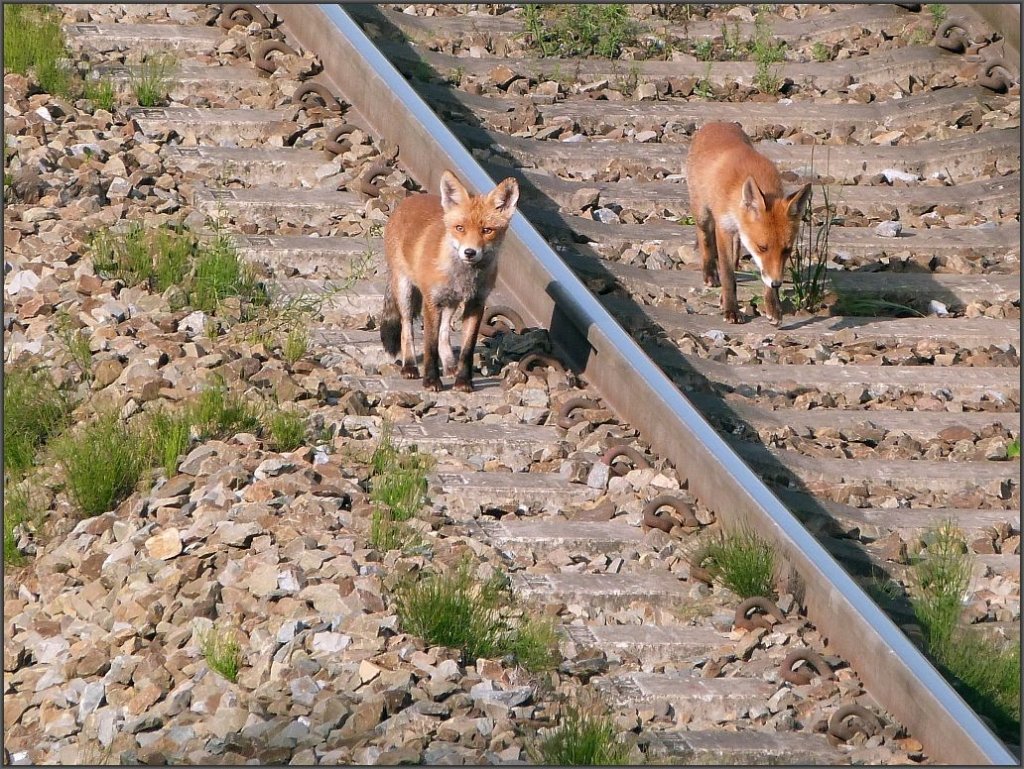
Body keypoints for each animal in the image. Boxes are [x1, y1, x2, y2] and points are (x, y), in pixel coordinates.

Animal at [380, 172, 520, 393]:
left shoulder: (476, 303)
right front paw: (431, 381)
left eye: (487, 230)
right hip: (405, 291)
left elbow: (467, 349)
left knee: (444, 332)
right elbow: (429, 346)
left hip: (451, 302)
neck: (464, 277)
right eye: (460, 228)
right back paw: (410, 366)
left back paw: (449, 366)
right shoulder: (431, 302)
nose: (470, 252)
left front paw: (463, 381)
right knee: (406, 328)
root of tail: (411, 198)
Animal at [684, 121, 811, 325]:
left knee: (736, 250)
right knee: (705, 240)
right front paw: (731, 310)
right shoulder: (724, 228)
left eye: (787, 250)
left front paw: (773, 306)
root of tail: (716, 122)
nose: (777, 283)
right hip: (703, 214)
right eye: (762, 247)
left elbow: (763, 273)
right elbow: (728, 275)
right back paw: (710, 273)